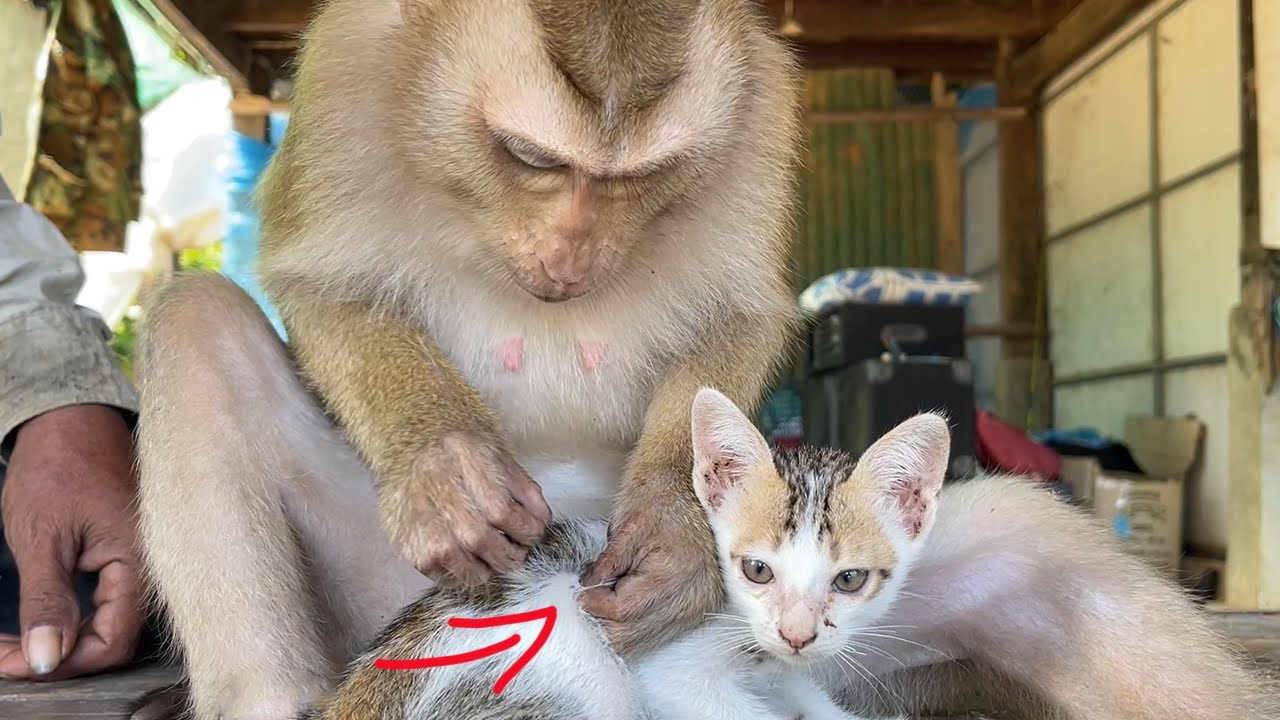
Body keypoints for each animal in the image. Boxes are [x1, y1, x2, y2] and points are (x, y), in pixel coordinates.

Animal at [132, 0, 806, 718]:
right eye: (531, 156)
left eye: (642, 176)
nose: (569, 256)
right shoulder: (348, 64)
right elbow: (322, 284)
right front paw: (443, 466)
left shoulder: (765, 109)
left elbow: (740, 315)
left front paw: (678, 535)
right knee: (195, 316)